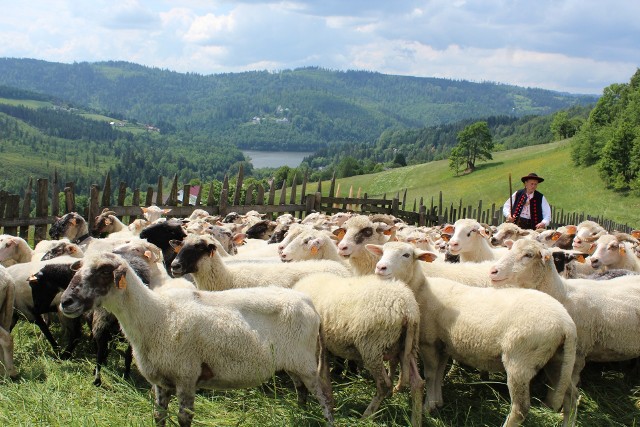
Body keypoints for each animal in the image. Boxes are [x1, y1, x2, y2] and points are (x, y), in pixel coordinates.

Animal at [58, 252, 336, 426]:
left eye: (104, 272)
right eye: (78, 270)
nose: (66, 302)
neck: (156, 316)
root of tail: (309, 304)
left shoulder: (186, 375)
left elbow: (184, 418)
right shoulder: (161, 381)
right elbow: (159, 416)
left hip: (307, 363)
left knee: (324, 395)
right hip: (293, 363)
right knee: (301, 390)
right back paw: (299, 413)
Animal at [292, 272, 422, 426]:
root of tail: (407, 309)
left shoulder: (316, 348)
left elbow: (321, 377)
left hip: (373, 347)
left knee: (384, 385)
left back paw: (366, 416)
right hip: (408, 346)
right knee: (417, 383)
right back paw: (416, 421)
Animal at [368, 241, 576, 427]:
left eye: (406, 255)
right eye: (382, 251)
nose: (380, 267)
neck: (420, 290)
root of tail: (566, 323)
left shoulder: (429, 342)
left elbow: (431, 374)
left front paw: (428, 406)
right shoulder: (444, 344)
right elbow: (439, 373)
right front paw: (438, 402)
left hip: (520, 362)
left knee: (520, 409)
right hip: (558, 360)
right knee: (571, 397)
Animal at [490, 241, 640, 402]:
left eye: (528, 255)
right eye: (510, 248)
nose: (493, 271)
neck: (562, 294)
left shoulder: (579, 351)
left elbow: (568, 379)